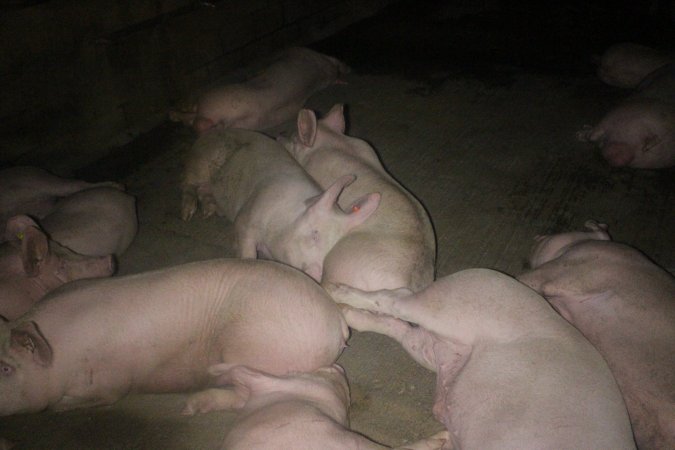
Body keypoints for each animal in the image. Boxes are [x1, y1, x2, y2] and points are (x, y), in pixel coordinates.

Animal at [0, 258, 348, 416]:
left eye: (5, 368)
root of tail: (336, 321)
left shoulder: (110, 383)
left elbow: (99, 398)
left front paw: (59, 408)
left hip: (255, 348)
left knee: (245, 395)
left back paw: (191, 407)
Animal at [181, 128, 380, 281]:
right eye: (315, 234)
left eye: (331, 250)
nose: (319, 275)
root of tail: (210, 133)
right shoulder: (245, 219)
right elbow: (247, 251)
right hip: (198, 163)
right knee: (188, 183)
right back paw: (188, 214)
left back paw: (209, 212)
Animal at [328, 269, 635, 450]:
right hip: (456, 303)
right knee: (396, 298)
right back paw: (333, 291)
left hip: (440, 347)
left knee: (400, 326)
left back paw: (346, 314)